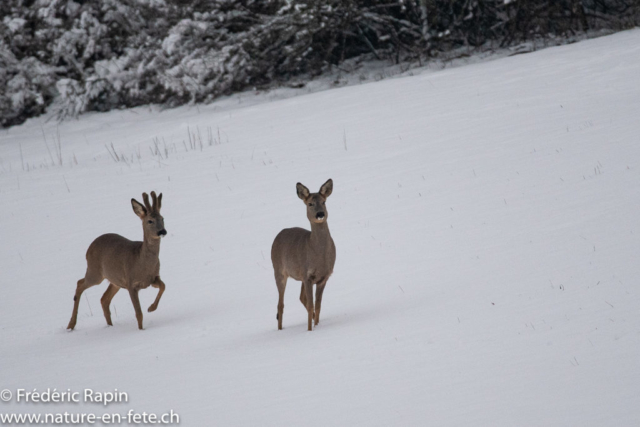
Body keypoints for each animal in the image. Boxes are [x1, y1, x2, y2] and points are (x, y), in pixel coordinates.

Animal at [67, 193, 168, 332]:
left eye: (162, 218)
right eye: (150, 221)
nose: (162, 231)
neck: (142, 263)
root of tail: (89, 247)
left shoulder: (153, 278)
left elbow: (163, 286)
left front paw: (151, 308)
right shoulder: (131, 283)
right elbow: (139, 313)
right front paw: (141, 330)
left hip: (115, 281)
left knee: (104, 298)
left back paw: (110, 326)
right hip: (95, 272)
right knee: (80, 283)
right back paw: (71, 325)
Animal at [272, 179, 338, 332]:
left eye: (324, 202)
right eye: (310, 204)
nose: (320, 214)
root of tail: (277, 236)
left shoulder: (323, 277)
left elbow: (317, 305)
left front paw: (317, 325)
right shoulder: (307, 275)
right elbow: (310, 305)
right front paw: (309, 330)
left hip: (299, 277)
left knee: (301, 298)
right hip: (278, 271)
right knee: (280, 304)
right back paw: (280, 330)